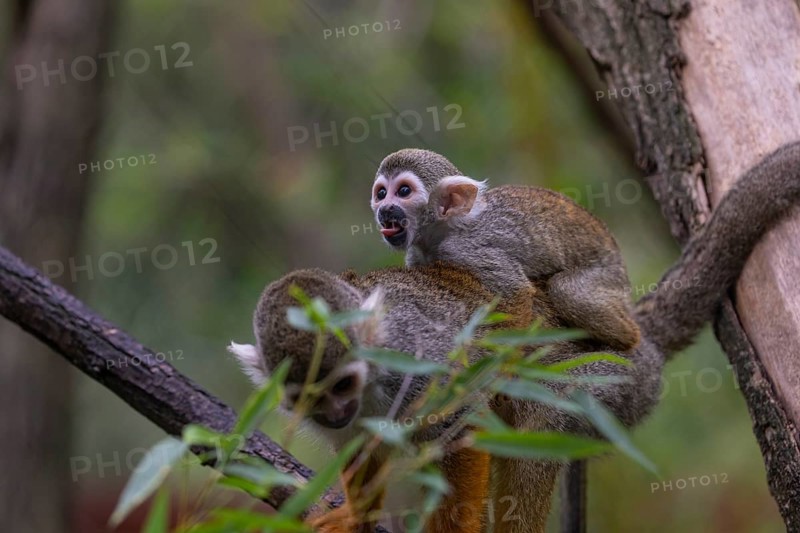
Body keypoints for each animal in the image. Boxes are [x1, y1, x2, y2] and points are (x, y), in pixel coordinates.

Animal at [370, 148, 642, 352]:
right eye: (381, 193)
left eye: (404, 191)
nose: (385, 209)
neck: (440, 231)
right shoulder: (417, 255)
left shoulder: (464, 249)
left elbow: (515, 293)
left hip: (608, 274)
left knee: (567, 289)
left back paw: (626, 340)